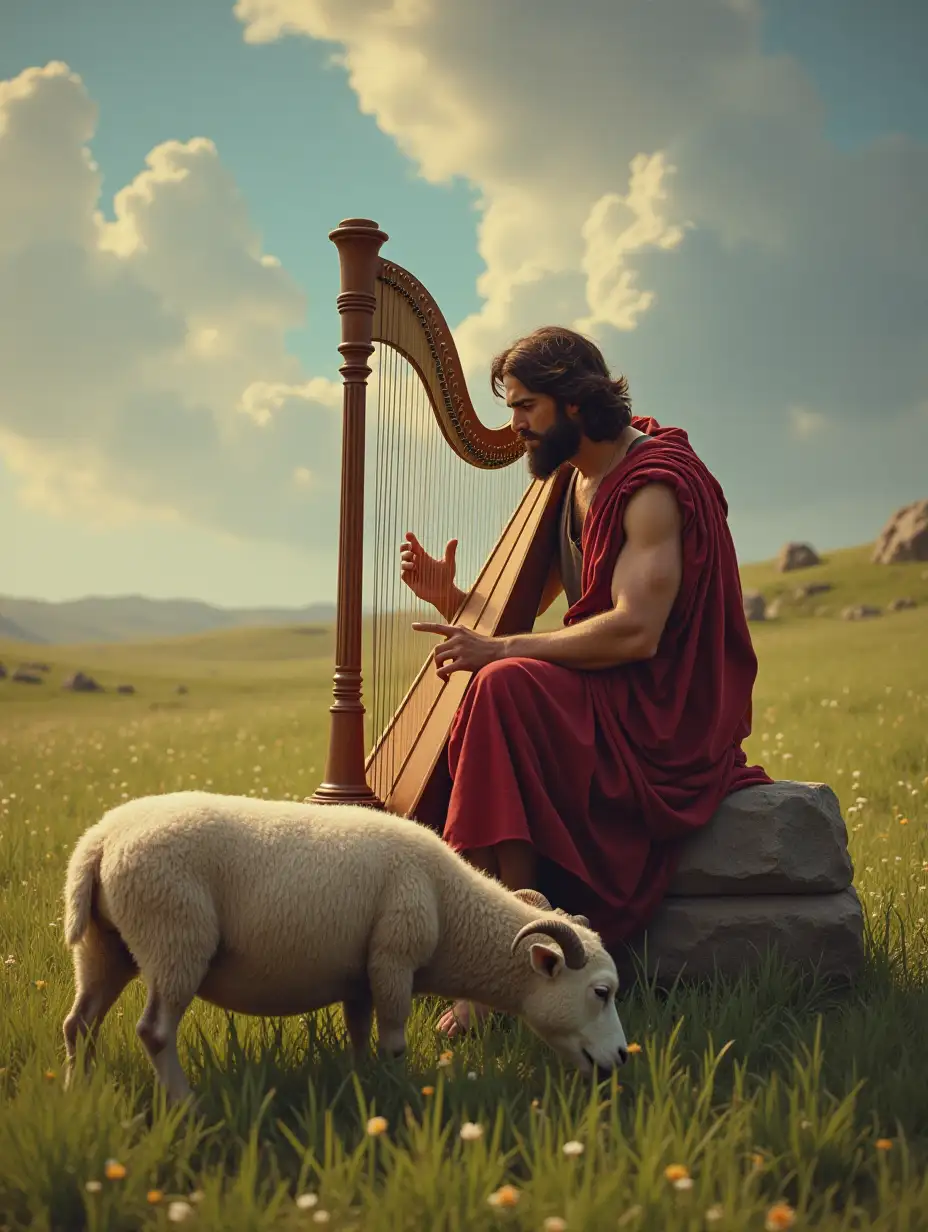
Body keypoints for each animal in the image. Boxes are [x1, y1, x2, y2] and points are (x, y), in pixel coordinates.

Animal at [61, 793, 630, 1103]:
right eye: (601, 992)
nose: (623, 1059)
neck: (452, 910)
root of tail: (98, 843)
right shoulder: (395, 959)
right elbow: (393, 1041)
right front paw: (399, 1095)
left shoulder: (360, 974)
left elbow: (359, 1037)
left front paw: (362, 1088)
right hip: (174, 937)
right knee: (154, 1032)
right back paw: (185, 1103)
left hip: (103, 947)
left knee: (79, 1023)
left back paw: (79, 1088)